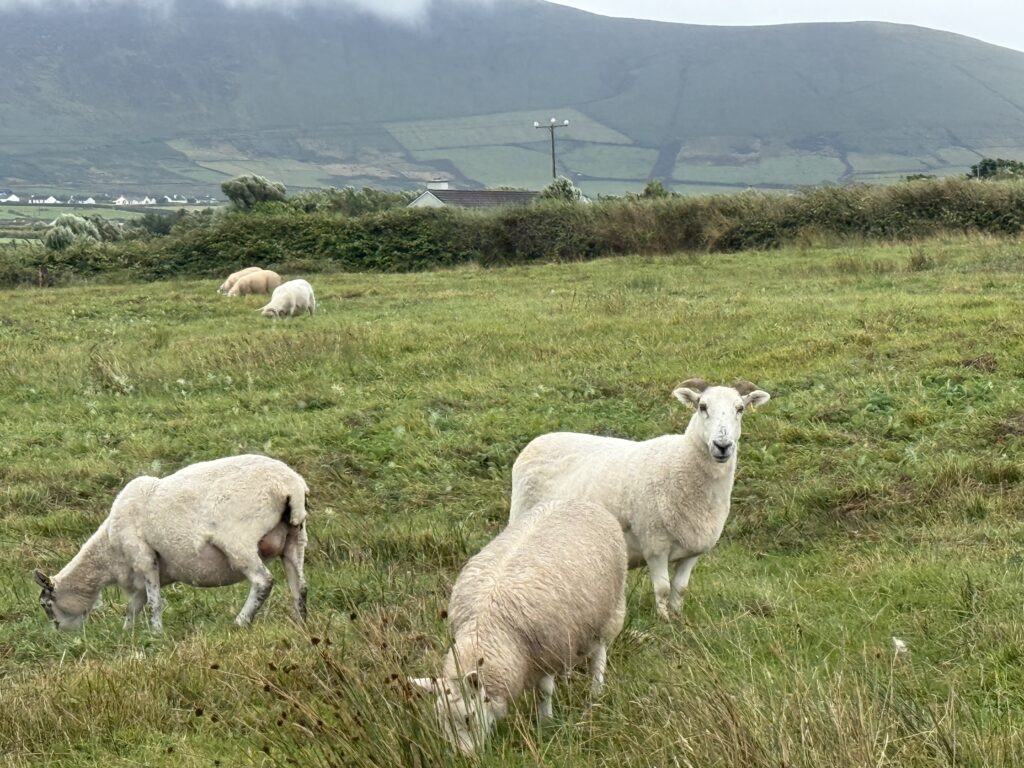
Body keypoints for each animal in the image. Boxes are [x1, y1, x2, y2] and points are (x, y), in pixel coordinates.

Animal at [33, 454, 309, 633]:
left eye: (46, 605)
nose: (59, 632)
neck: (108, 555)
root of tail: (290, 485)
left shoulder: (144, 558)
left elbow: (154, 603)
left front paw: (156, 634)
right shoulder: (143, 574)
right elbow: (133, 606)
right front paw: (127, 634)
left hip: (238, 539)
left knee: (264, 581)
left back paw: (241, 622)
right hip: (295, 538)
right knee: (300, 586)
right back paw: (302, 623)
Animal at [410, 499, 626, 755]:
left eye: (468, 718)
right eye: (441, 723)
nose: (464, 757)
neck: (488, 629)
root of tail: (577, 500)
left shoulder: (546, 653)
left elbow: (544, 692)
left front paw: (545, 723)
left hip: (610, 611)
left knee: (599, 655)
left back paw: (596, 690)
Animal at [509, 379, 771, 620]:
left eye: (740, 408)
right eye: (702, 406)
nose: (722, 445)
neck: (681, 462)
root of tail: (538, 441)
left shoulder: (692, 550)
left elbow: (680, 589)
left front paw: (678, 619)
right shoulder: (654, 543)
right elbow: (663, 588)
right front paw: (663, 621)